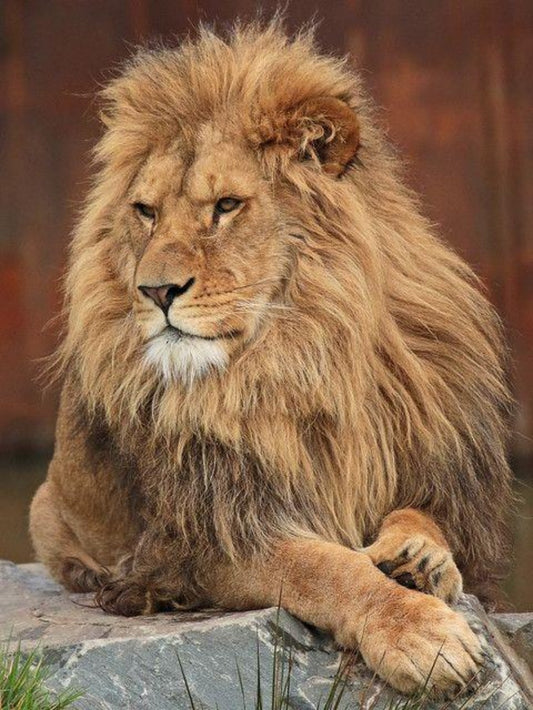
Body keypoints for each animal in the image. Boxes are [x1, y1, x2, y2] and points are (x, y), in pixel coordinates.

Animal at [30, 21, 513, 697]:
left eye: (227, 205)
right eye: (145, 211)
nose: (154, 290)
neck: (301, 355)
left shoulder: (433, 466)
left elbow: (420, 516)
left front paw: (418, 559)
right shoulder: (214, 534)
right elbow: (329, 569)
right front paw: (423, 635)